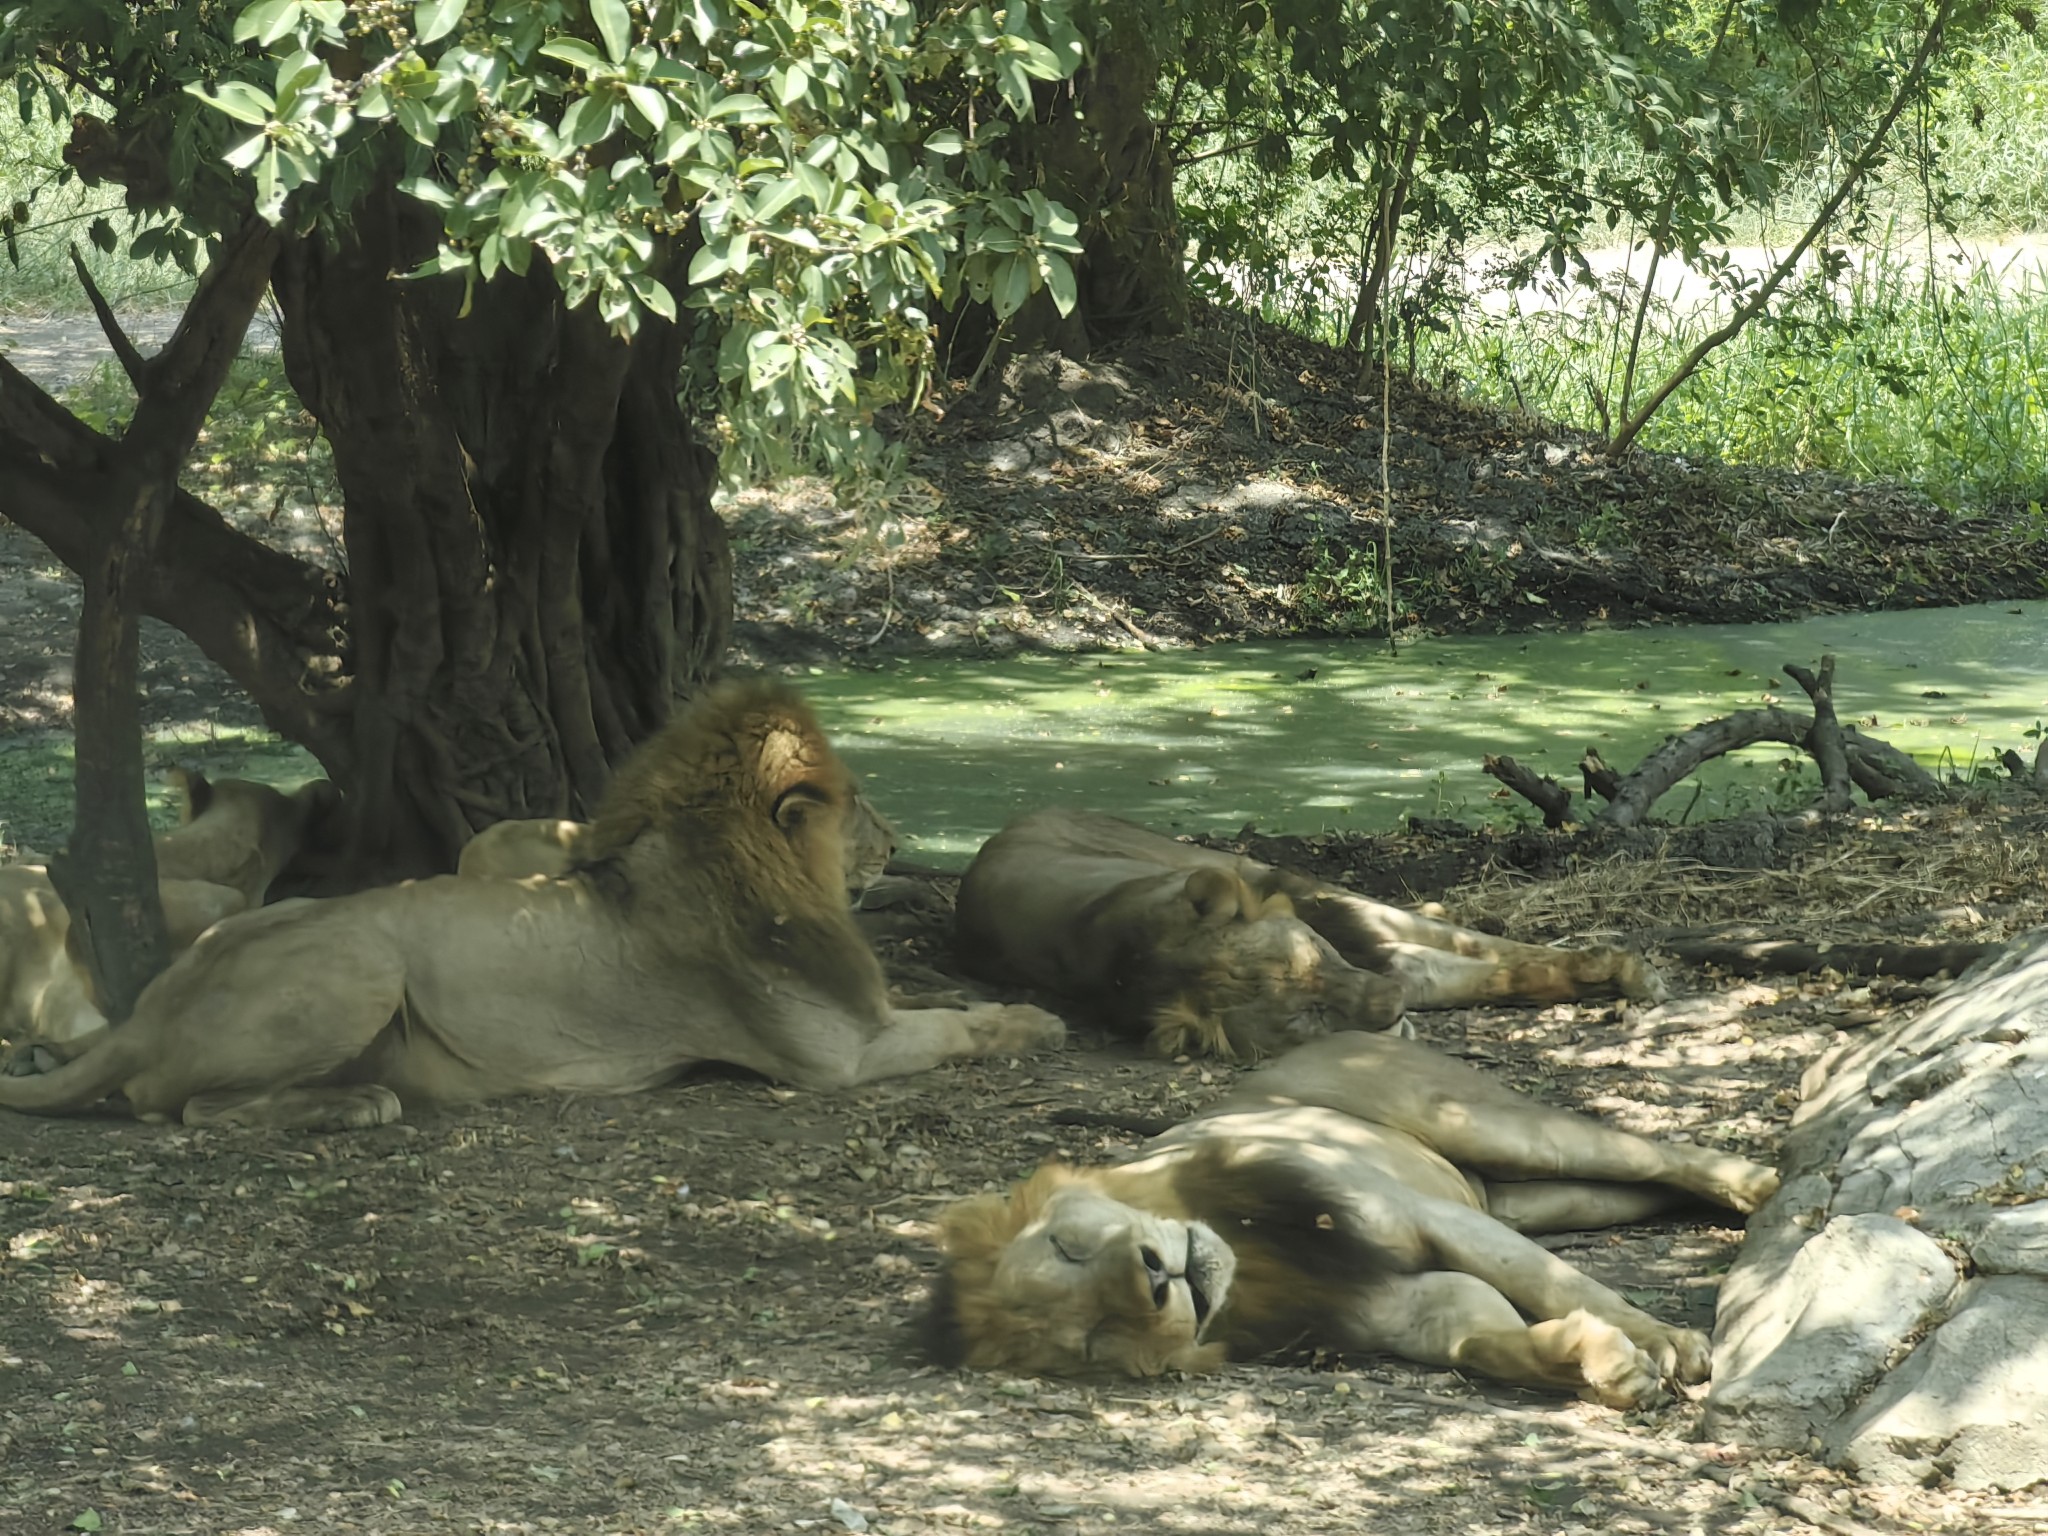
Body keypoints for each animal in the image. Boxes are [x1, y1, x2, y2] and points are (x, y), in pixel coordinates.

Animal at [921, 1028, 1785, 1417]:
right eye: (1096, 1336)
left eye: (1068, 1247)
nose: (1156, 1281)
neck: (1249, 1254)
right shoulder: (1404, 1305)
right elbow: (1482, 1342)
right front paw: (1600, 1362)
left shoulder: (1426, 1218)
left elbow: (1556, 1282)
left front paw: (1665, 1343)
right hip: (1530, 1194)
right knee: (1634, 1190)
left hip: (1485, 1125)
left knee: (1647, 1151)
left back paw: (1758, 1181)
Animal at [950, 811, 1671, 1064]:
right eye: (1307, 1017)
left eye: (1310, 955)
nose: (1390, 1006)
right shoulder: (1392, 962)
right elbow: (1500, 971)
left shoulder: (1347, 917)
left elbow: (1500, 952)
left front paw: (1627, 969)